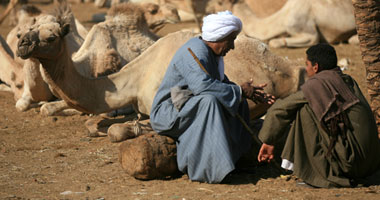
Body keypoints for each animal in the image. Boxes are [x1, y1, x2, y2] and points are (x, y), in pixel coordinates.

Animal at [16, 8, 306, 140]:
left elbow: (117, 131)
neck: (135, 78)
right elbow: (95, 123)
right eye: (27, 30)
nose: (22, 44)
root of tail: (294, 68)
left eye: (51, 37)